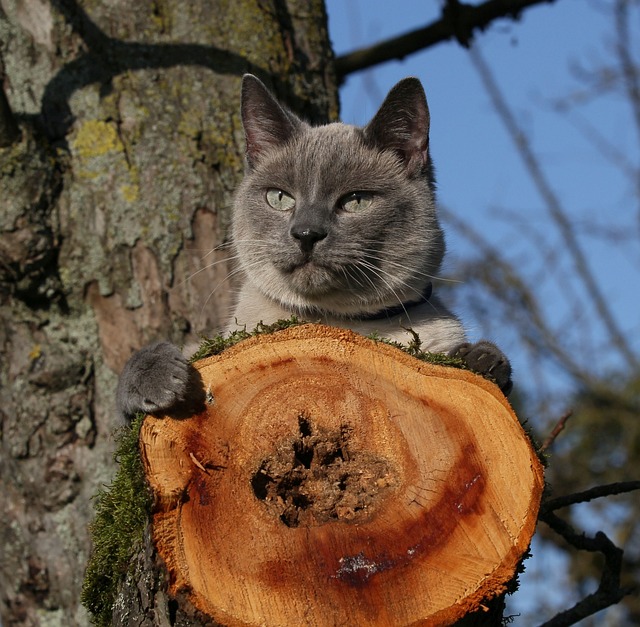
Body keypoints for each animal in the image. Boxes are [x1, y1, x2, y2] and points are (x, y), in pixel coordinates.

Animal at [117, 75, 512, 422]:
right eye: (280, 198)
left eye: (355, 201)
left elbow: (493, 369)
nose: (306, 233)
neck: (332, 323)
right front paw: (160, 383)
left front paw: (482, 361)